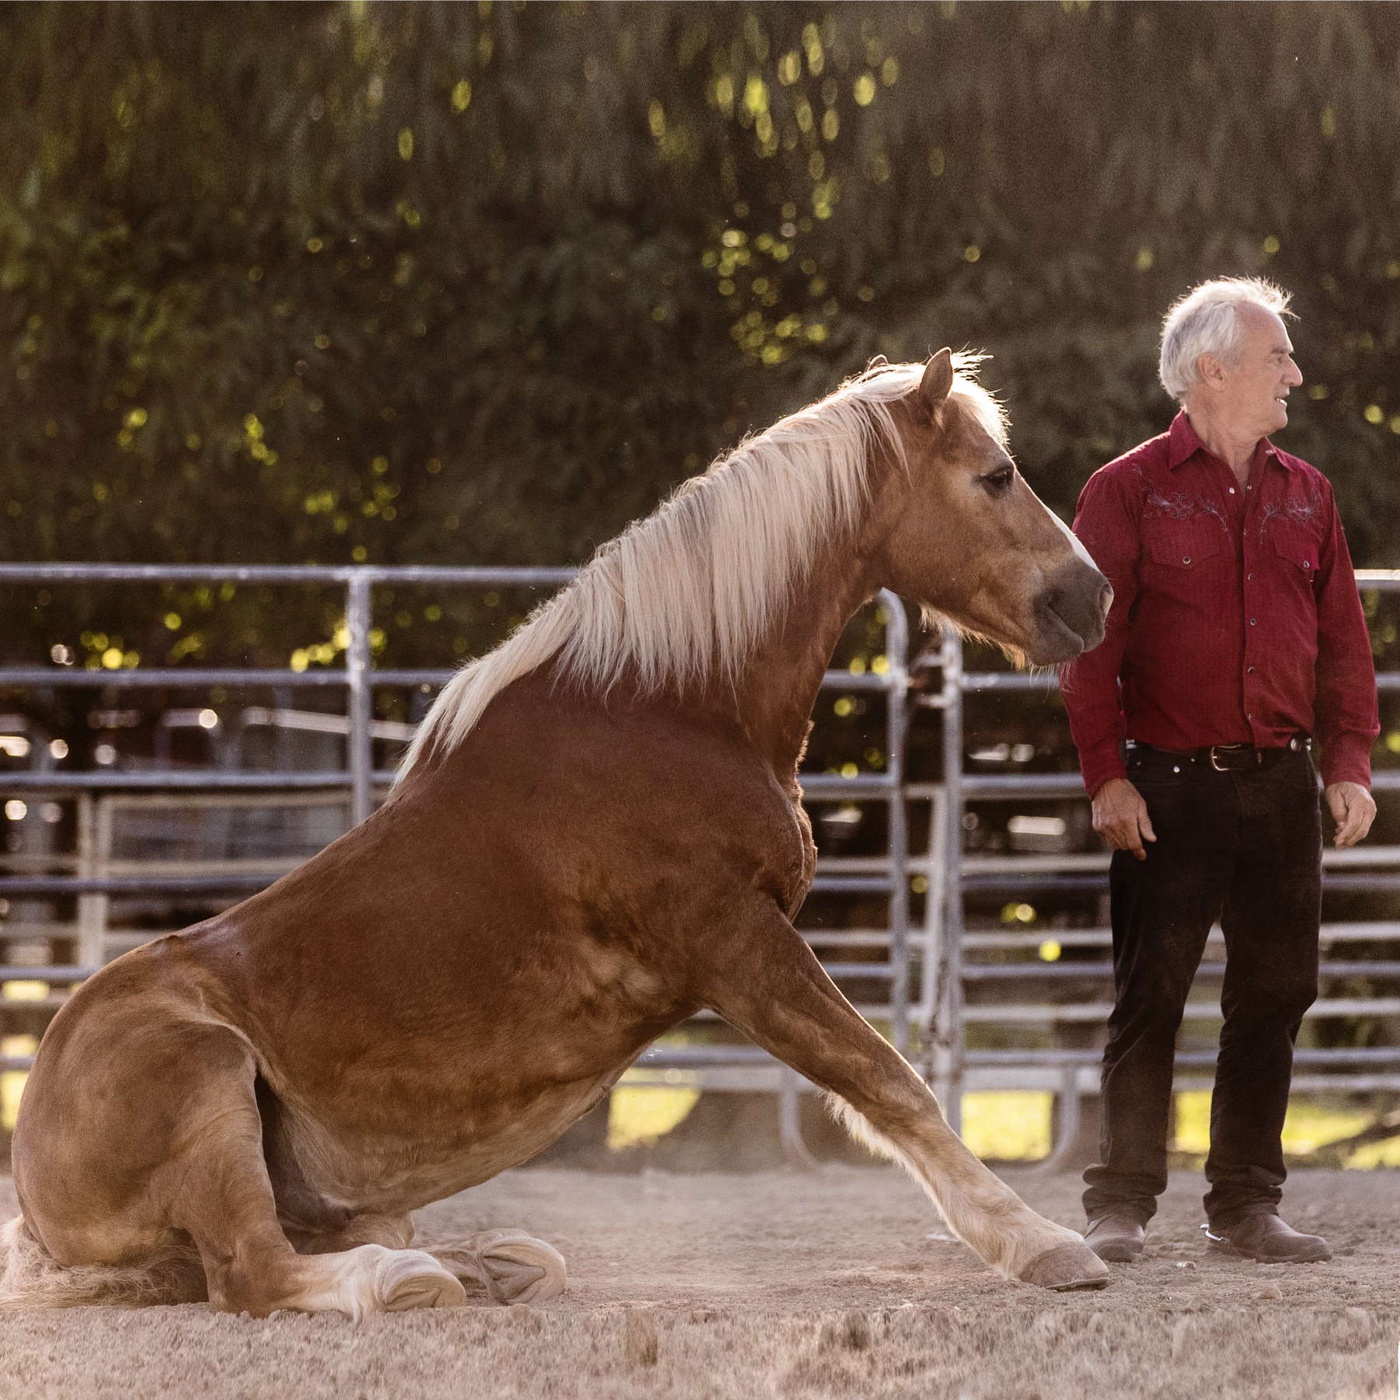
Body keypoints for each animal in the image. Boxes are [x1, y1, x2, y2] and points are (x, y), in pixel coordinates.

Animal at [2, 350, 1114, 1310]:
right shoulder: (738, 943)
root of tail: (37, 1201)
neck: (667, 709)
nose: (1090, 594)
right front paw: (1044, 1244)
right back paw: (407, 1278)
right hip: (206, 1074)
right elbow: (891, 1082)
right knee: (251, 1270)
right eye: (996, 476)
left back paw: (486, 1261)